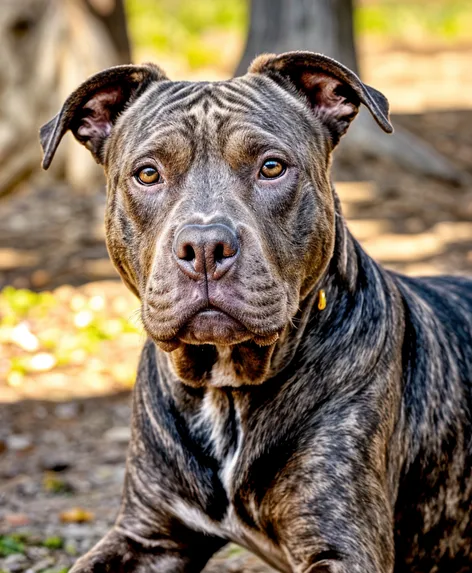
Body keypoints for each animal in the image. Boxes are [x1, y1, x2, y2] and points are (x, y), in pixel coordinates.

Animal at [39, 51, 472, 568]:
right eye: (147, 173)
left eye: (271, 167)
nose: (206, 246)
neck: (226, 389)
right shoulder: (147, 535)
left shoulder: (342, 543)